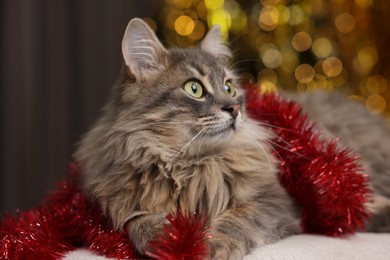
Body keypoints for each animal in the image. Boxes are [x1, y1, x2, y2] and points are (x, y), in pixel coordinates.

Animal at [74, 18, 388, 258]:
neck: (187, 165)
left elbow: (238, 220)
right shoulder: (115, 208)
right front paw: (170, 238)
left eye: (229, 86)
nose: (234, 108)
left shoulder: (277, 203)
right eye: (194, 89)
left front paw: (212, 245)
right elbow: (137, 223)